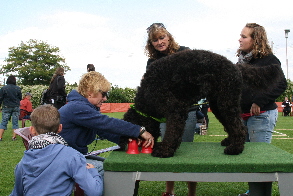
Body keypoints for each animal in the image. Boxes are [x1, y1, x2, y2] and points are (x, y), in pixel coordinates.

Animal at [122, 49, 282, 158]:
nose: (122, 145)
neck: (147, 95)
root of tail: (236, 66)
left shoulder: (176, 109)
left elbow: (172, 131)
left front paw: (165, 150)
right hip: (218, 105)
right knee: (231, 125)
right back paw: (230, 141)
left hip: (226, 101)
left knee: (240, 127)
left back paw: (235, 149)